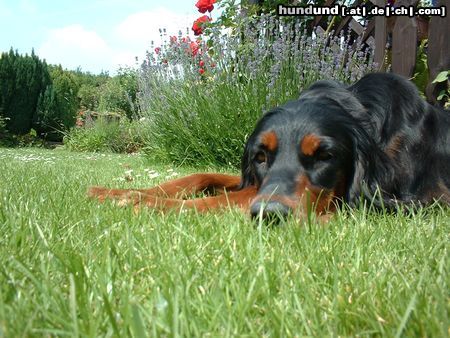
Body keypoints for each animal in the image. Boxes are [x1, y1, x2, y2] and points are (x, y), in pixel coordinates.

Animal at [89, 73, 450, 220]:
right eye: (260, 156)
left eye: (325, 156)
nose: (271, 214)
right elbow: (202, 176)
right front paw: (116, 192)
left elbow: (229, 198)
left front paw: (146, 203)